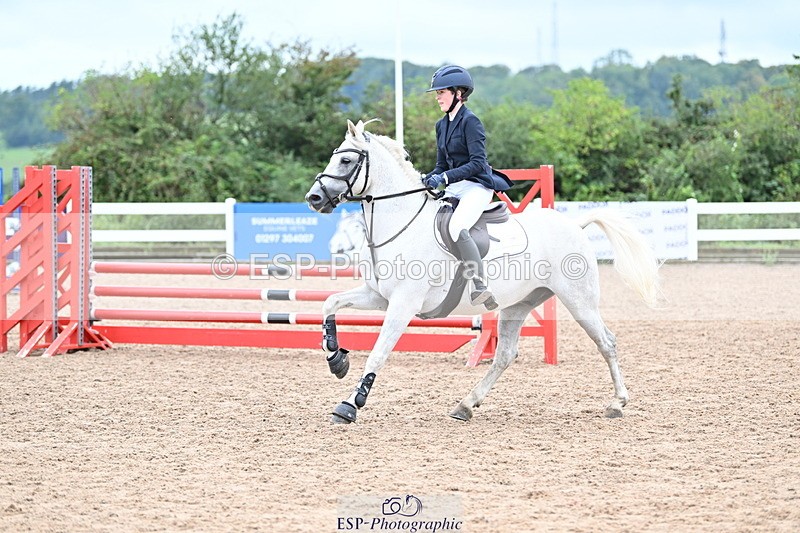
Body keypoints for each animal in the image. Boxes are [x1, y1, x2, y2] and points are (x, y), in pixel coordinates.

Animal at [305, 119, 661, 424]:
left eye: (346, 161)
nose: (314, 197)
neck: (402, 222)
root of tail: (575, 224)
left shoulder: (403, 303)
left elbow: (378, 352)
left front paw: (350, 405)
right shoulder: (378, 296)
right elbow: (330, 303)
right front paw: (336, 359)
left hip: (579, 301)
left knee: (607, 342)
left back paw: (617, 403)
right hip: (519, 305)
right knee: (505, 355)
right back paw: (465, 405)